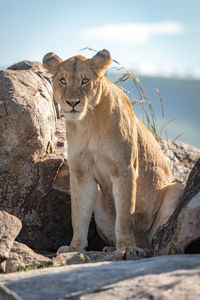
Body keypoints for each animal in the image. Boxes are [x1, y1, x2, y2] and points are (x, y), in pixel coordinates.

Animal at [42, 49, 184, 253]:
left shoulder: (125, 168)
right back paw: (109, 249)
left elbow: (125, 214)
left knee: (156, 238)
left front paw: (126, 247)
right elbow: (78, 215)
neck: (88, 123)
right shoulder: (81, 172)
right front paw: (74, 248)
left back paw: (142, 249)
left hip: (177, 189)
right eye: (62, 80)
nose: (72, 102)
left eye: (85, 81)